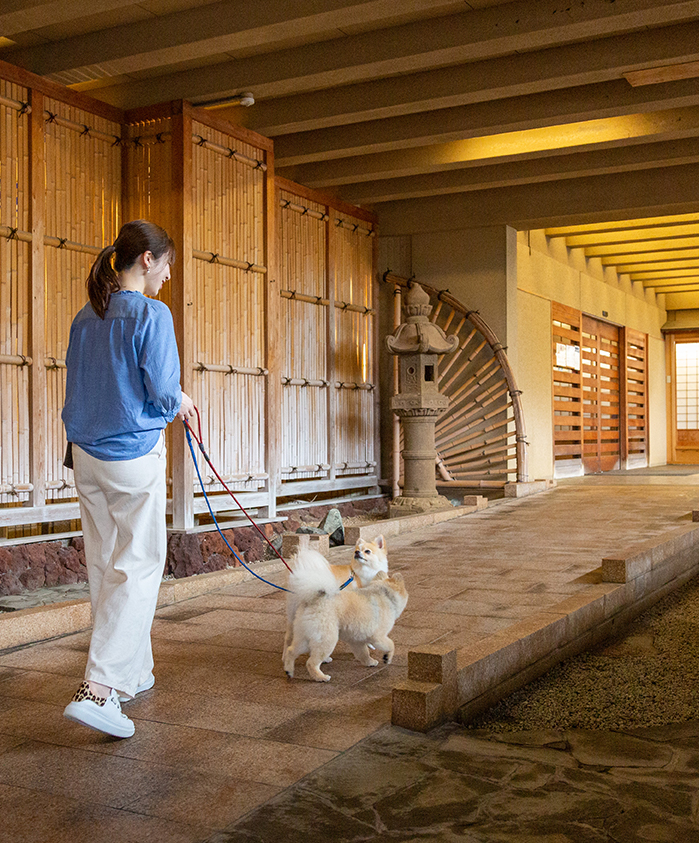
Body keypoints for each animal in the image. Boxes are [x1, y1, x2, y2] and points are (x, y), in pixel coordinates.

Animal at [282, 552, 408, 684]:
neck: (386, 594)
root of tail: (313, 599)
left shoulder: (357, 640)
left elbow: (363, 653)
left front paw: (369, 662)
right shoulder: (378, 637)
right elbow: (391, 645)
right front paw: (387, 658)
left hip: (304, 636)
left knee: (291, 651)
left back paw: (289, 670)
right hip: (327, 638)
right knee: (311, 663)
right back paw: (321, 677)